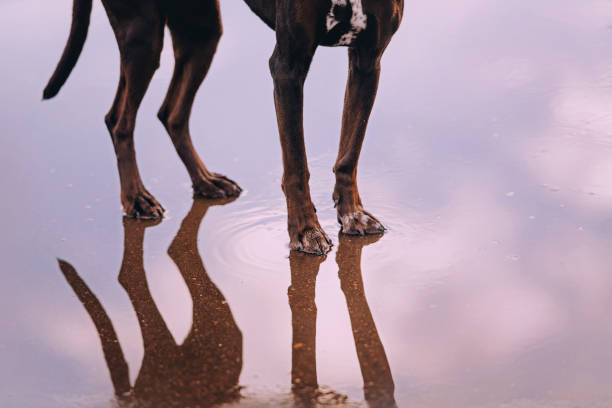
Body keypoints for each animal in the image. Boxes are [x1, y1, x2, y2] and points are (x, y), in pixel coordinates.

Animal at [45, 0, 404, 255]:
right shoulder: (288, 65)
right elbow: (296, 165)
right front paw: (305, 231)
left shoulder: (368, 60)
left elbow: (349, 153)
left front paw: (353, 214)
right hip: (142, 34)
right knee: (120, 119)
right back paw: (136, 199)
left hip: (202, 31)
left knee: (170, 113)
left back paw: (205, 181)